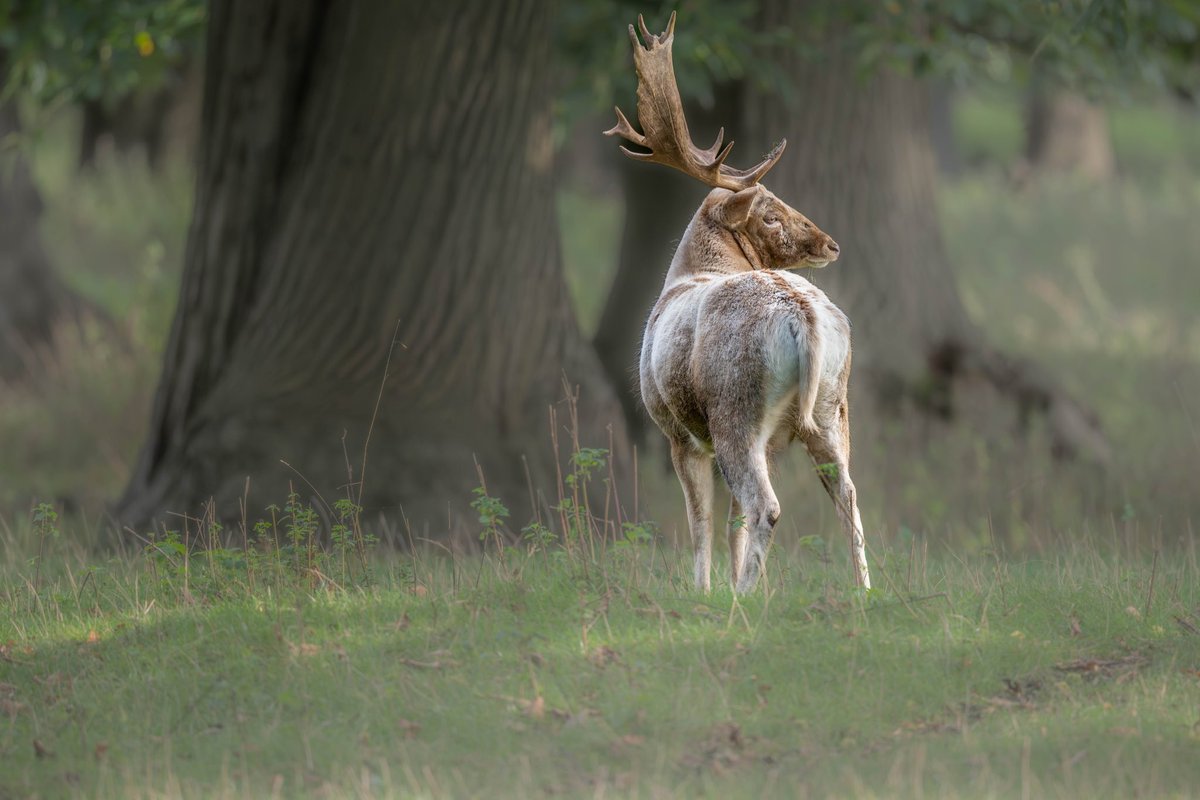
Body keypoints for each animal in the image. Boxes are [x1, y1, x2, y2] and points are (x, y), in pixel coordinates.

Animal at [605, 12, 871, 593]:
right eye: (769, 214)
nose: (831, 244)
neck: (690, 272)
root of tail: (803, 315)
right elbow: (730, 523)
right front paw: (723, 583)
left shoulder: (676, 431)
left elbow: (700, 520)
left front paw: (704, 592)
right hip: (830, 406)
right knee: (847, 493)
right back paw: (865, 590)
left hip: (734, 407)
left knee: (765, 505)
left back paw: (745, 599)